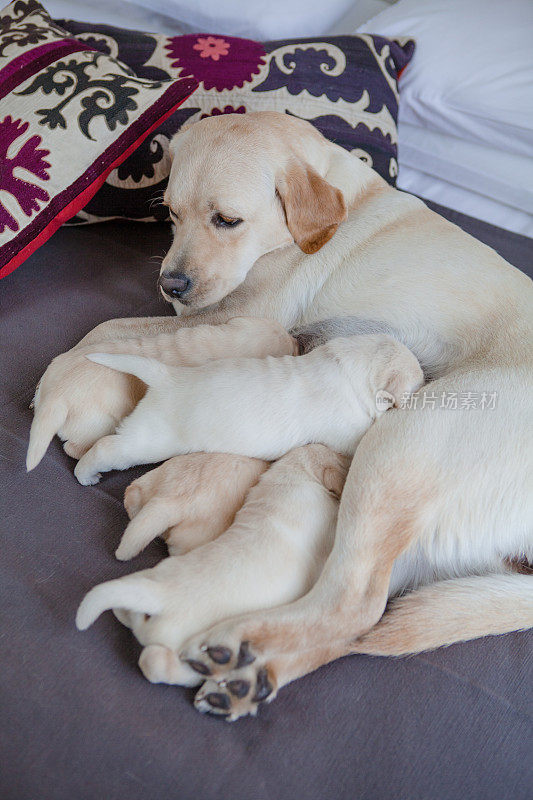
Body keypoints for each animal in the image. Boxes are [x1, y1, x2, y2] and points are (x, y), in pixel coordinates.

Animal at [72, 334, 424, 484]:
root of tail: (166, 377)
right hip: (149, 440)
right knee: (107, 448)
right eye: (417, 380)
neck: (347, 367)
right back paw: (86, 475)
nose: (426, 377)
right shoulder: (347, 432)